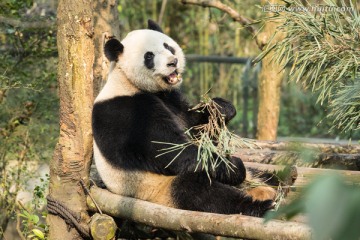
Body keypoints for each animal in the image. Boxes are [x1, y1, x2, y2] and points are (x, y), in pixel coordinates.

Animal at [92, 19, 282, 217]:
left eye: (168, 46)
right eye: (149, 57)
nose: (173, 62)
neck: (127, 81)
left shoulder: (172, 99)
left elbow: (196, 128)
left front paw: (221, 108)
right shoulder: (128, 111)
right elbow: (174, 151)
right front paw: (234, 167)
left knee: (266, 175)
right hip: (156, 188)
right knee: (198, 191)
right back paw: (260, 205)